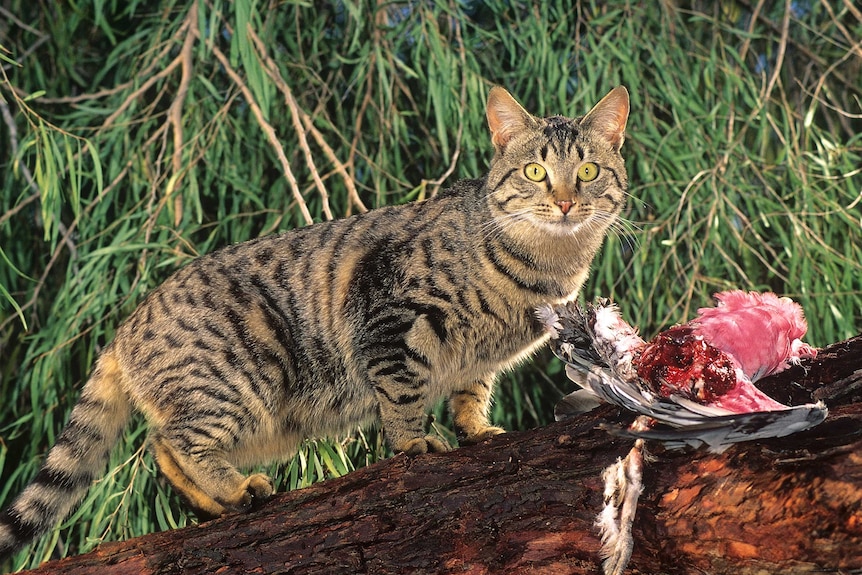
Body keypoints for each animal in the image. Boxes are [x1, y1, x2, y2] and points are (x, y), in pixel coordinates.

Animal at [0, 86, 636, 564]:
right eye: (534, 170)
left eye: (587, 169)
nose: (565, 201)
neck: (545, 267)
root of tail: (125, 325)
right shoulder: (389, 318)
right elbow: (402, 395)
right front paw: (416, 443)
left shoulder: (477, 360)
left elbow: (471, 394)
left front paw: (477, 430)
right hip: (239, 386)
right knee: (176, 440)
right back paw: (235, 489)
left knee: (161, 447)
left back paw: (217, 504)